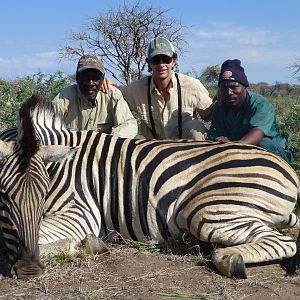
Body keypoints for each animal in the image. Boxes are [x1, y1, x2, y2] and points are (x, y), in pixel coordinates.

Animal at [0, 94, 298, 278]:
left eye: (43, 192)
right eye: (5, 195)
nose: (29, 269)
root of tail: (286, 170)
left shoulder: (81, 212)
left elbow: (32, 235)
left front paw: (87, 245)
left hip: (207, 211)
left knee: (280, 241)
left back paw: (229, 259)